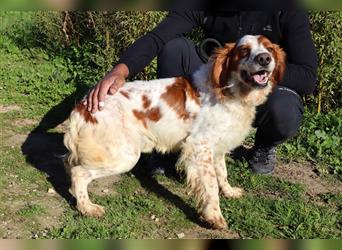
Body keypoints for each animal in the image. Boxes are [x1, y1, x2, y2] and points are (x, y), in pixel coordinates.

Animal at [63, 34, 286, 229]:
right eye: (244, 51)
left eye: (269, 48)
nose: (264, 58)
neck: (229, 90)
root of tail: (82, 106)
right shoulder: (200, 147)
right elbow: (211, 185)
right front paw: (215, 216)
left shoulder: (217, 147)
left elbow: (222, 174)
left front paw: (229, 192)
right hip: (124, 156)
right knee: (78, 173)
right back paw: (87, 208)